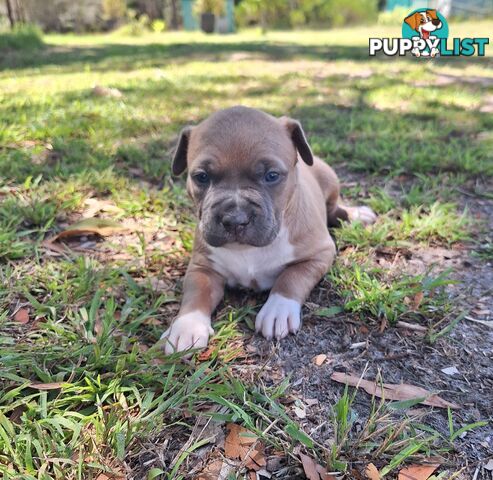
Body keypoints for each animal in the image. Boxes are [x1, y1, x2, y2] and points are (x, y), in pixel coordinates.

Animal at [160, 107, 374, 352]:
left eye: (271, 175)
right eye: (201, 177)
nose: (235, 218)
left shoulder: (319, 254)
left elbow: (292, 276)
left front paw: (278, 309)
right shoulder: (202, 266)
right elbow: (197, 292)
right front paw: (186, 326)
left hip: (330, 181)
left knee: (335, 208)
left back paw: (357, 215)